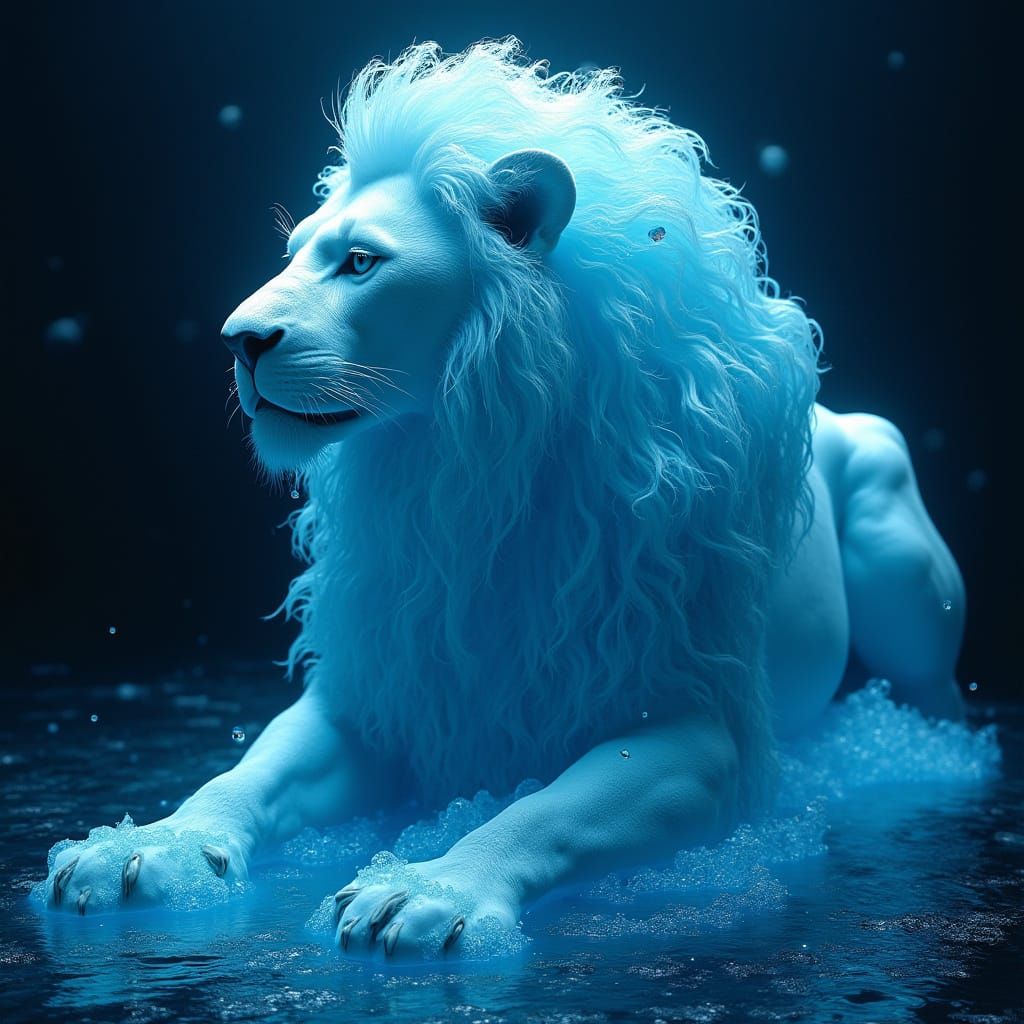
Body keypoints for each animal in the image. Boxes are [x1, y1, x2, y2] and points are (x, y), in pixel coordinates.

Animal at [43, 38, 966, 957]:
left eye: (360, 262)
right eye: (296, 252)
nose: (238, 340)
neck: (465, 472)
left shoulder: (698, 723)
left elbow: (545, 810)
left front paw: (431, 888)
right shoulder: (384, 690)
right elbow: (244, 775)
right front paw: (149, 847)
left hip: (900, 563)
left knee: (934, 692)